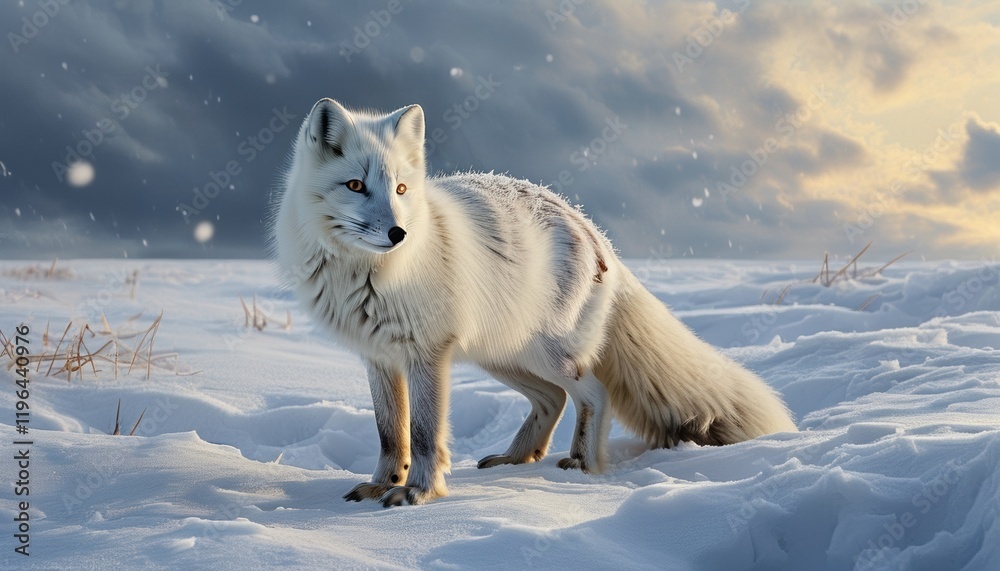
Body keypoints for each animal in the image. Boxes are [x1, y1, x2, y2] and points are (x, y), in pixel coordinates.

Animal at [271, 98, 797, 507]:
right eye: (356, 186)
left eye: (401, 188)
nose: (399, 233)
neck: (365, 276)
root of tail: (596, 233)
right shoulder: (379, 357)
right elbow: (389, 434)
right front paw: (381, 486)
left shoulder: (427, 355)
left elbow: (422, 434)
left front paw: (418, 492)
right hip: (502, 355)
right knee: (553, 398)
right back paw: (516, 458)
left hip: (546, 354)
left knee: (593, 394)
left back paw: (582, 462)